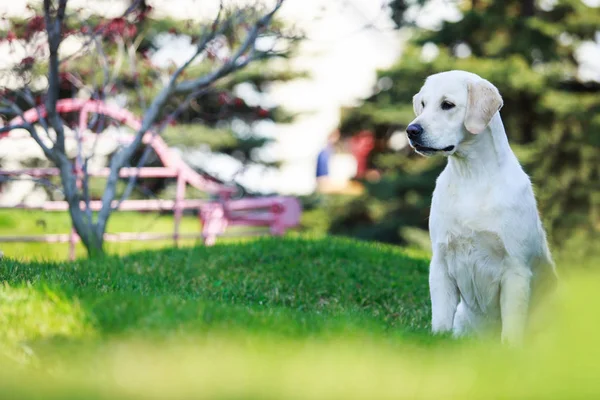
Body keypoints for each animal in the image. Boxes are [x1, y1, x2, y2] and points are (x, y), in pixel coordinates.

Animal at [408, 69, 556, 344]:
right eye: (422, 104)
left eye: (447, 104)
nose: (411, 130)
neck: (471, 176)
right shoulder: (440, 262)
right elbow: (440, 318)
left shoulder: (515, 268)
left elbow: (512, 326)